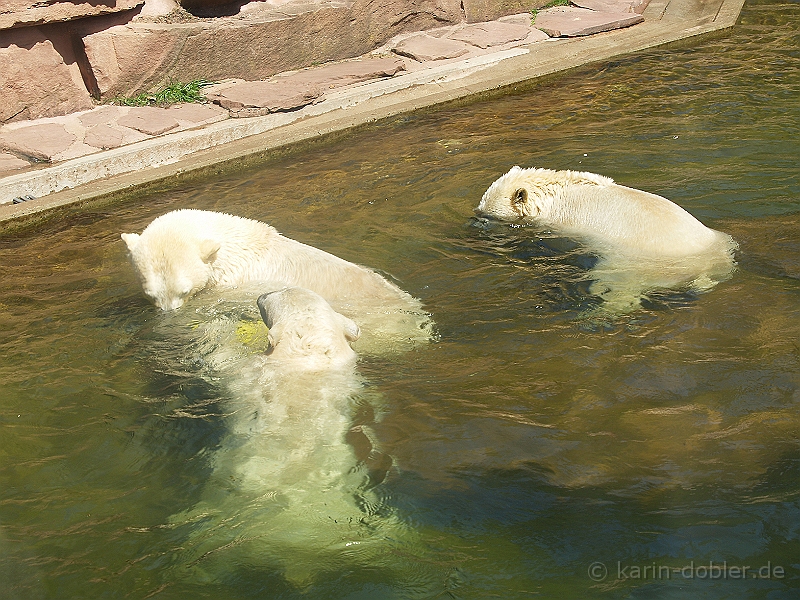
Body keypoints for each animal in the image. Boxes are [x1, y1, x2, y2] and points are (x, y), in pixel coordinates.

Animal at [476, 166, 736, 312]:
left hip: (630, 266)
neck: (555, 193)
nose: (476, 221)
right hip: (724, 243)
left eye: (486, 213)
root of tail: (705, 265)